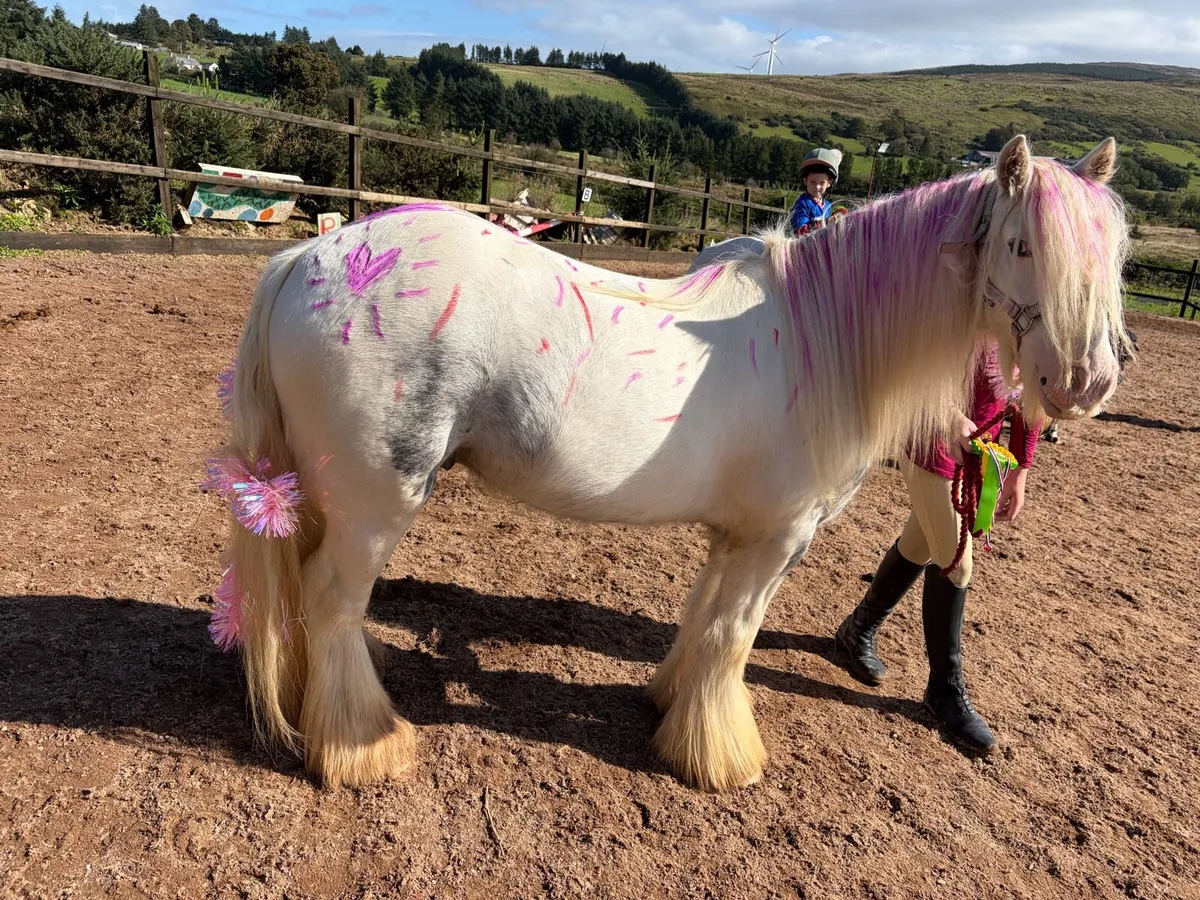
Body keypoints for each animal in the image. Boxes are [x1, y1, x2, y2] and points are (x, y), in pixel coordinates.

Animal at [204, 135, 1131, 794]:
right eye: (1022, 245)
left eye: (1112, 257)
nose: (1087, 379)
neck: (820, 341)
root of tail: (306, 259)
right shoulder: (778, 539)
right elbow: (733, 634)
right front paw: (722, 757)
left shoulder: (738, 535)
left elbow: (700, 620)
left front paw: (670, 705)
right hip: (376, 501)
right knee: (332, 600)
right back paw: (360, 747)